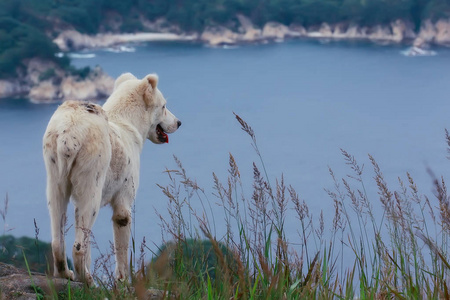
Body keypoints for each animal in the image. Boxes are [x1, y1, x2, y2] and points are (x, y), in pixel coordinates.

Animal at [42, 72, 181, 284]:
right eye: (164, 106)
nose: (179, 123)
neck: (126, 123)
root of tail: (70, 131)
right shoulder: (123, 204)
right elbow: (121, 251)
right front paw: (122, 283)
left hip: (56, 185)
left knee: (58, 241)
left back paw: (65, 274)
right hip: (91, 189)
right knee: (78, 248)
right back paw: (88, 281)